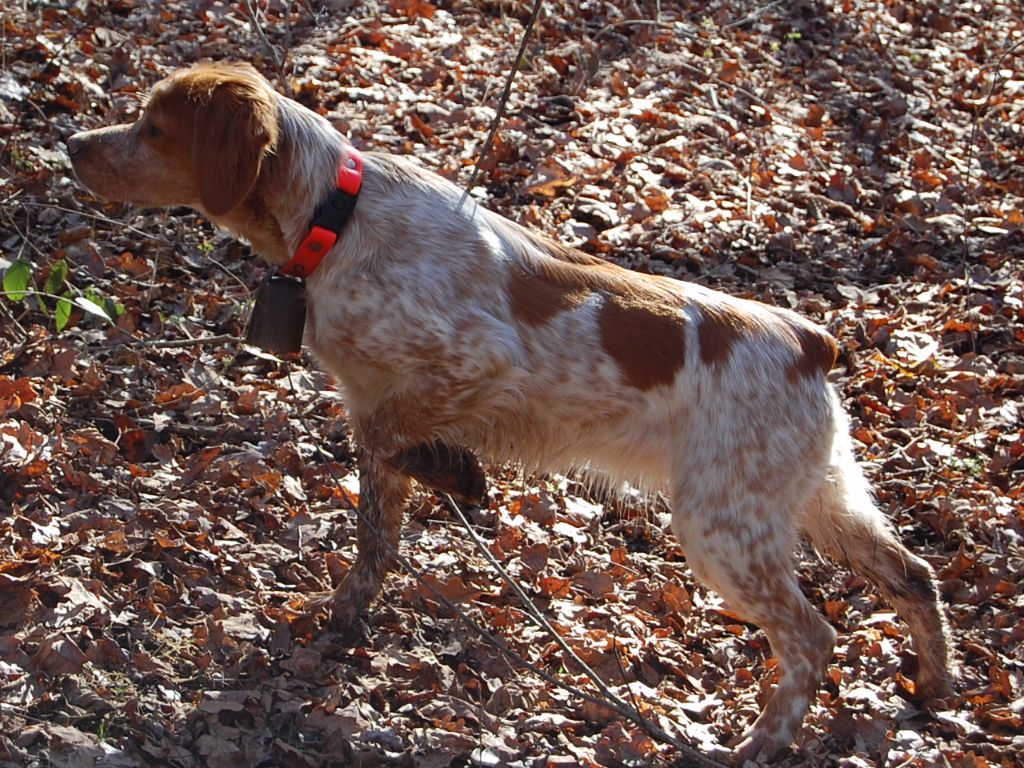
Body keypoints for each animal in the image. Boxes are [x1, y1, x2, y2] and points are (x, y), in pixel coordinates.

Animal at [68, 61, 954, 765]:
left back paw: (764, 742)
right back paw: (935, 687)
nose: (74, 144)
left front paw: (459, 474)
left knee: (812, 636)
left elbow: (397, 441)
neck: (336, 217)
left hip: (723, 527)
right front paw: (348, 613)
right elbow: (374, 530)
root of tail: (812, 341)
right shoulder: (371, 400)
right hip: (816, 500)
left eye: (153, 128)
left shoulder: (474, 361)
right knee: (914, 575)